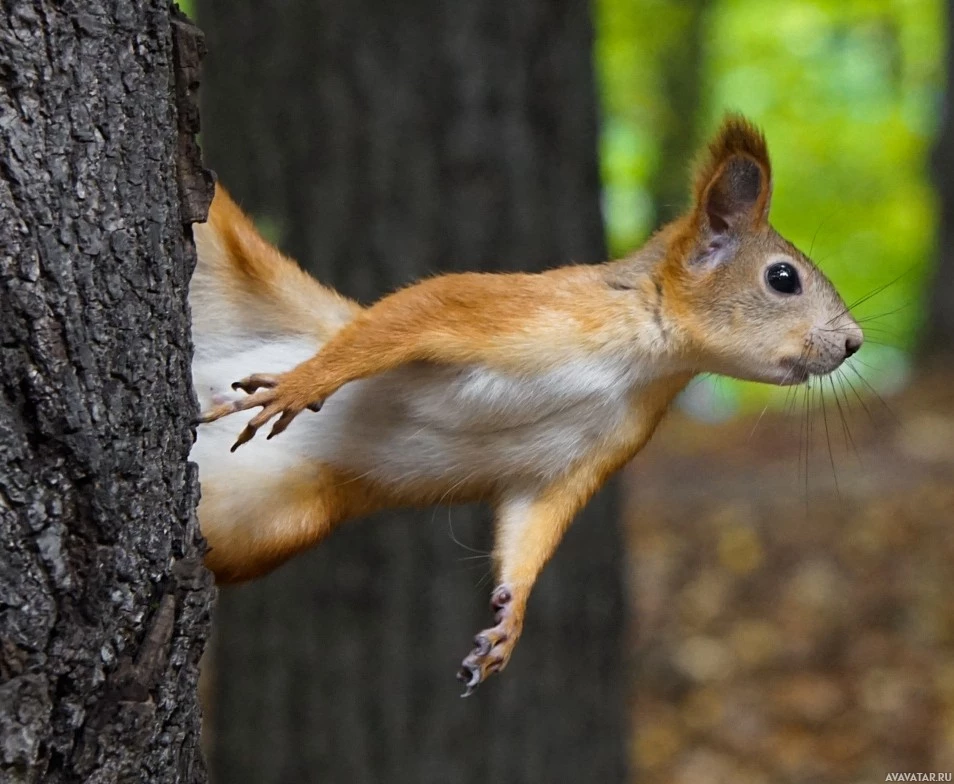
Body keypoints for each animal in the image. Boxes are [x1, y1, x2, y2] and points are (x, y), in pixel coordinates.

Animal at [190, 113, 860, 696]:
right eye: (782, 278)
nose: (855, 342)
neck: (644, 359)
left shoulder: (581, 459)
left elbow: (532, 525)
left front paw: (507, 625)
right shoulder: (498, 308)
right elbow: (405, 316)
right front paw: (304, 384)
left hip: (271, 520)